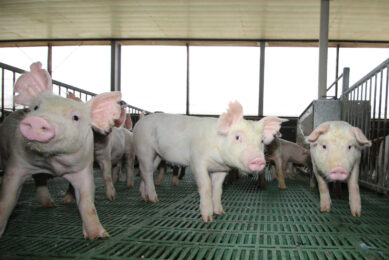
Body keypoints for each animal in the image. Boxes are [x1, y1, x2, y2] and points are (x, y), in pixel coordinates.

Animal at [0, 61, 121, 240]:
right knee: (39, 179)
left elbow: (87, 200)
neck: (53, 162)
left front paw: (100, 235)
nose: (38, 121)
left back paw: (51, 205)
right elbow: (7, 199)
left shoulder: (84, 166)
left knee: (41, 179)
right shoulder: (16, 164)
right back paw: (53, 205)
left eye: (76, 117)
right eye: (36, 107)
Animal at [133, 101, 284, 221]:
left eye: (261, 141)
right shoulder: (197, 161)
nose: (258, 160)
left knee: (145, 172)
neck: (219, 160)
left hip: (157, 155)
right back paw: (154, 199)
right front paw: (208, 218)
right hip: (144, 148)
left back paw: (144, 197)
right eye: (237, 137)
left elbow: (218, 188)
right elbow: (206, 186)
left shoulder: (221, 170)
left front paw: (221, 212)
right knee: (147, 172)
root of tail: (140, 121)